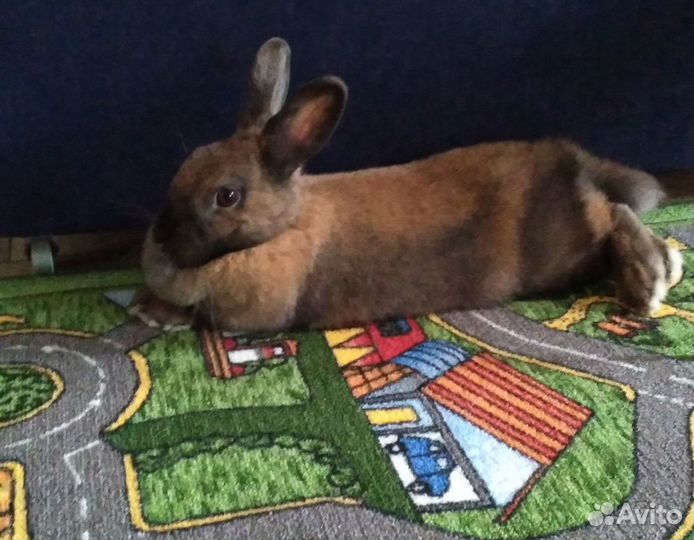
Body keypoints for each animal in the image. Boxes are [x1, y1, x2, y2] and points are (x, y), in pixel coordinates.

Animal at [130, 37, 683, 333]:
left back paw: (650, 277)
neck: (285, 227)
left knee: (614, 215)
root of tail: (568, 157)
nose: (161, 237)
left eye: (226, 197)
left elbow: (204, 315)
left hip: (561, 246)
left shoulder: (256, 309)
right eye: (186, 165)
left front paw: (153, 311)